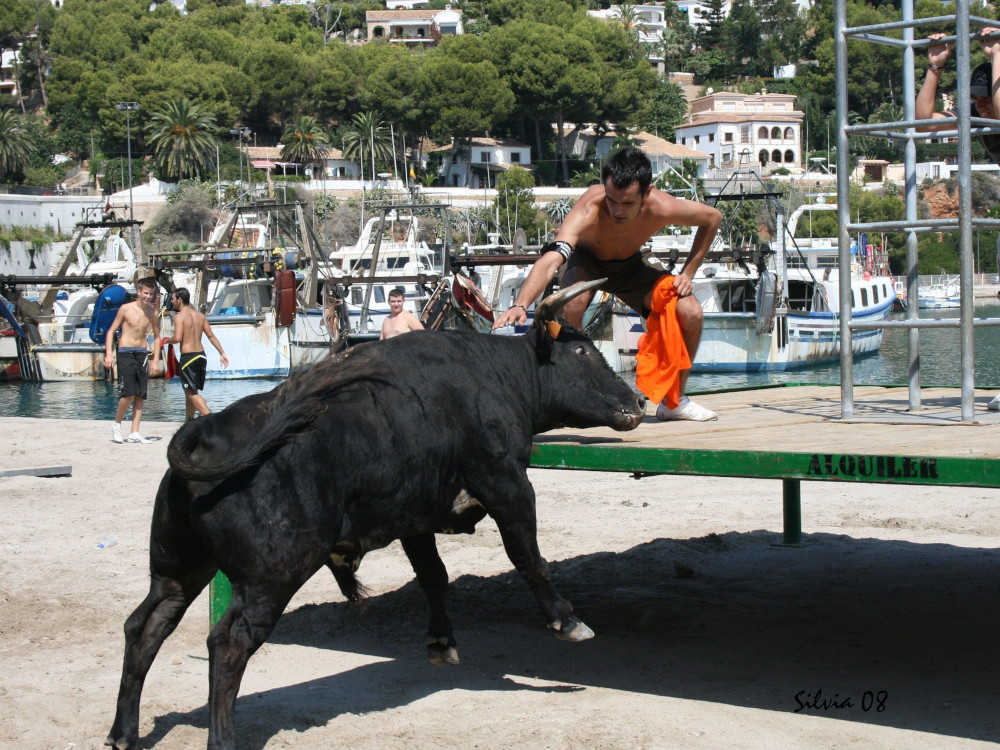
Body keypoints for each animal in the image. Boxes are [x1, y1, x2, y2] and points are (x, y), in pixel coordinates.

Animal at [107, 282, 640, 750]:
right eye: (582, 353)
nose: (636, 400)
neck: (495, 376)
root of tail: (209, 432)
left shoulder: (417, 516)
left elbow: (434, 575)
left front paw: (441, 642)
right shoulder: (505, 483)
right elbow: (529, 557)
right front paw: (566, 620)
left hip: (178, 569)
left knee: (145, 626)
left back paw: (123, 732)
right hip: (270, 577)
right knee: (228, 643)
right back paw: (221, 739)